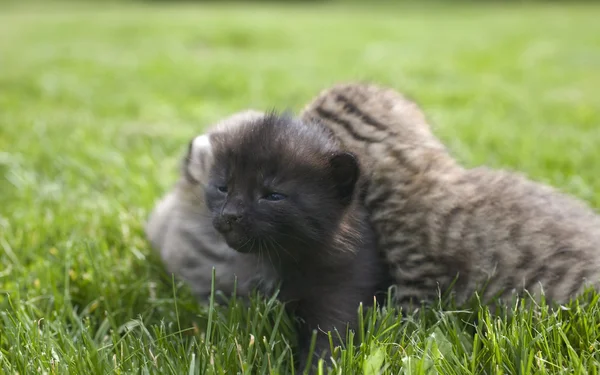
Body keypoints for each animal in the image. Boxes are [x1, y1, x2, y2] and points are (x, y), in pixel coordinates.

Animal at [204, 113, 390, 372]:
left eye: (273, 195)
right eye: (223, 188)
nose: (230, 214)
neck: (284, 260)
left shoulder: (344, 291)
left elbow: (327, 341)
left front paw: (317, 367)